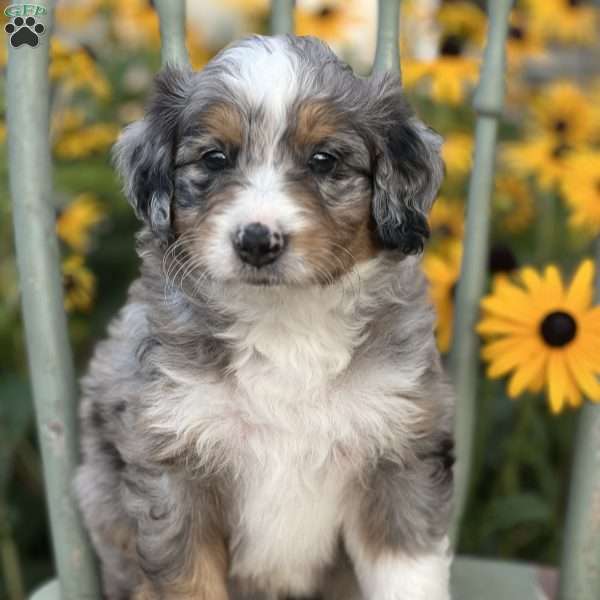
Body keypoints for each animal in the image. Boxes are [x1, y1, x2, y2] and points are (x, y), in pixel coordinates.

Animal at [75, 34, 452, 600]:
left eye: (323, 160)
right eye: (214, 158)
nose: (257, 241)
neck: (285, 323)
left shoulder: (400, 454)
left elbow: (408, 575)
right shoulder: (174, 472)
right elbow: (190, 580)